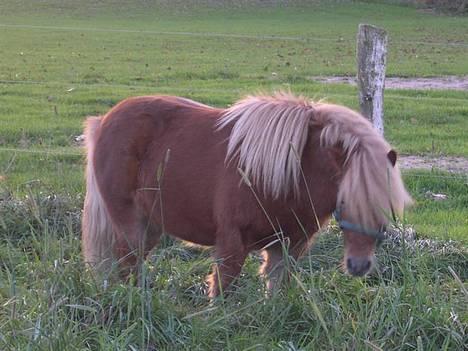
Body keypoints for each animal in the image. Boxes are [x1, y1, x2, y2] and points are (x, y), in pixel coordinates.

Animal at [82, 91, 412, 296]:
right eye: (346, 200)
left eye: (386, 206)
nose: (359, 266)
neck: (291, 174)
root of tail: (105, 120)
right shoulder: (231, 241)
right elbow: (223, 290)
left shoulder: (289, 246)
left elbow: (278, 289)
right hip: (130, 223)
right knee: (126, 263)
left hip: (151, 224)